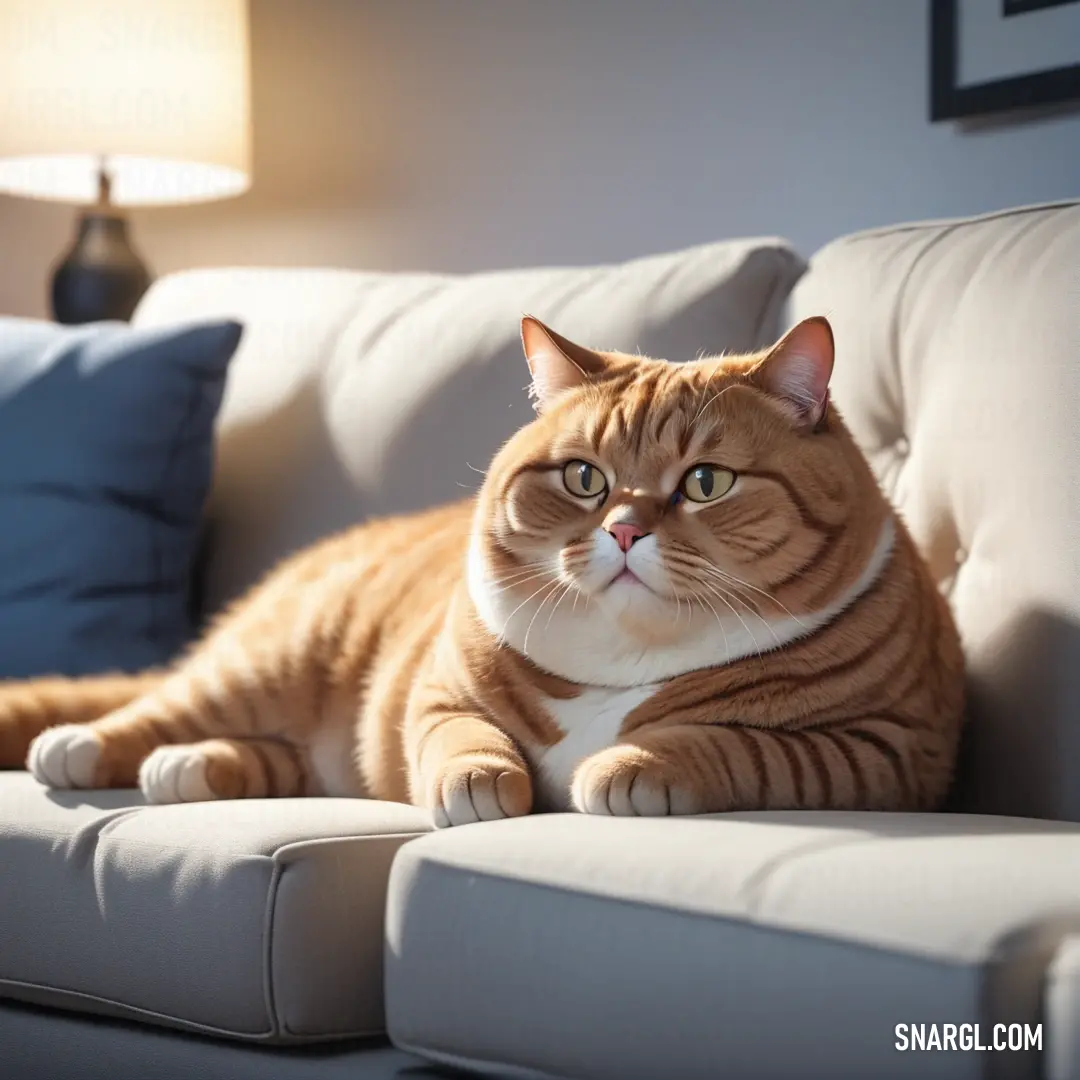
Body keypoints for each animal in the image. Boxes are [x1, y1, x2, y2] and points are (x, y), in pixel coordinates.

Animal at [0, 315, 967, 820]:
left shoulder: (883, 752)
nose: (623, 530)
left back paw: (186, 771)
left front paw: (623, 766)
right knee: (155, 708)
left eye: (706, 482)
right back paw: (84, 749)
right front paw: (483, 784)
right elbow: (462, 739)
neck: (627, 661)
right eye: (585, 478)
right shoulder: (438, 695)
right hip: (270, 660)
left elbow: (728, 741)